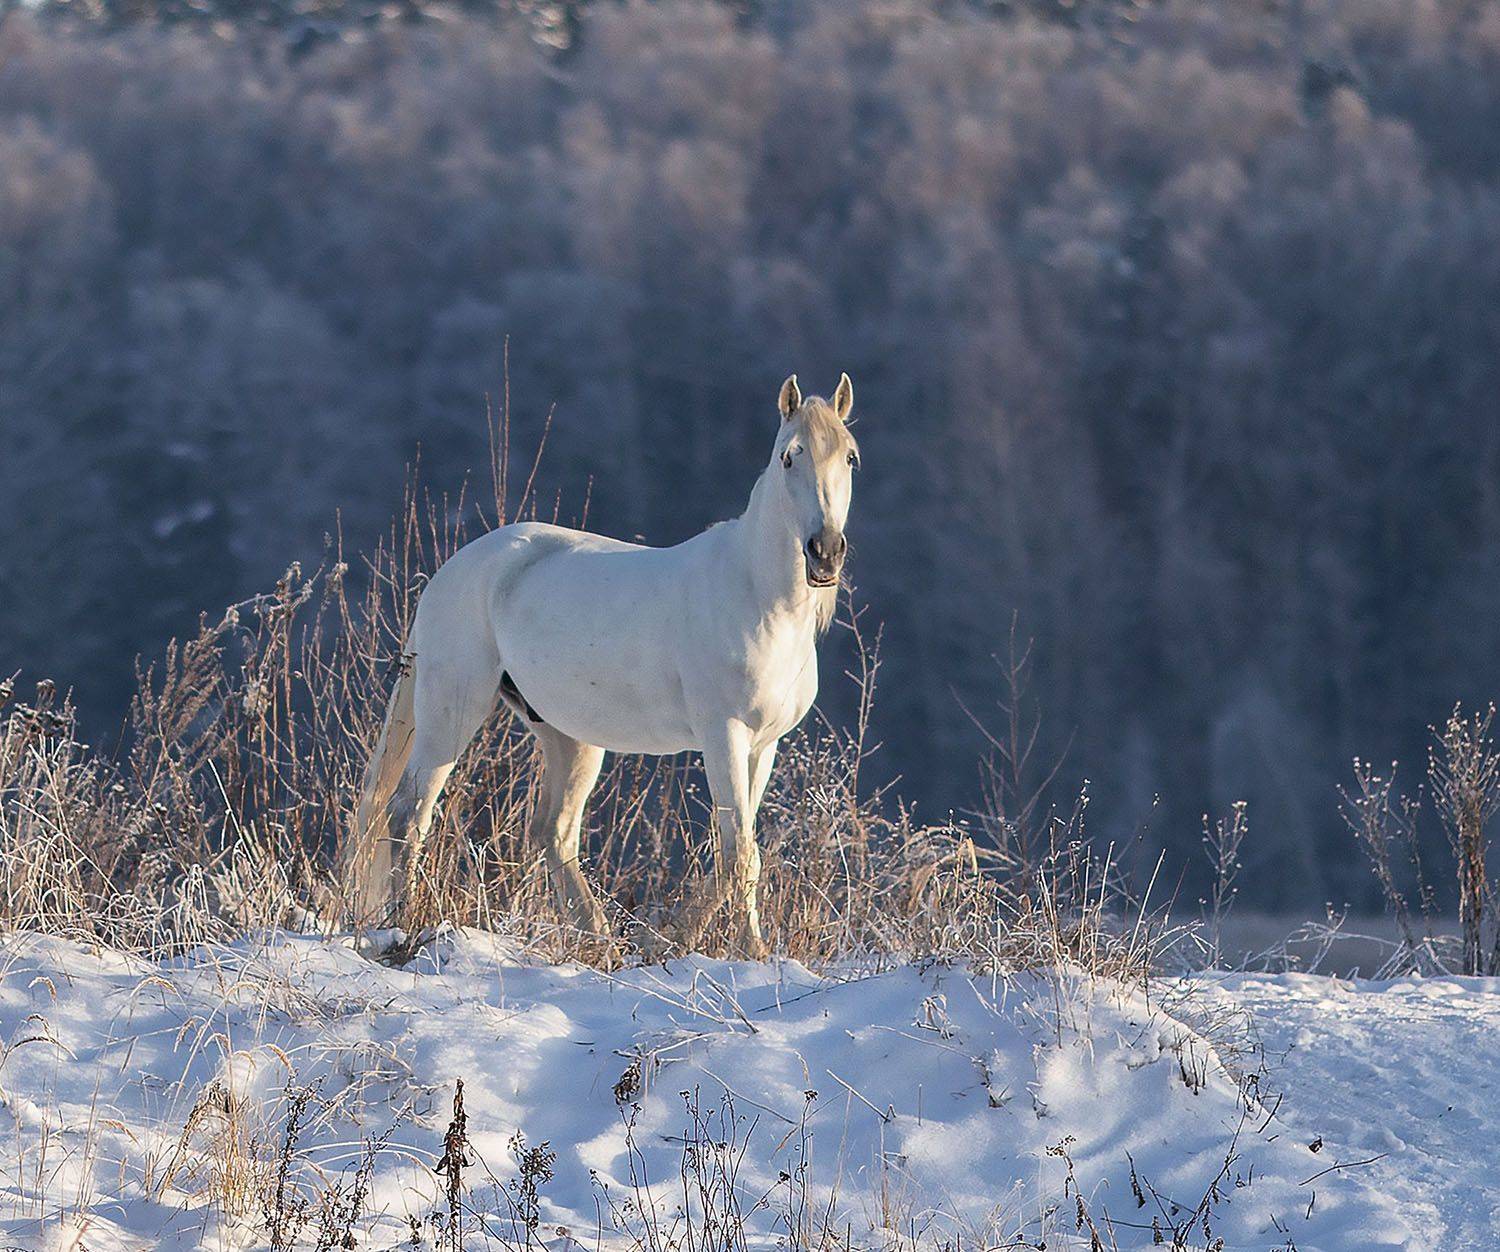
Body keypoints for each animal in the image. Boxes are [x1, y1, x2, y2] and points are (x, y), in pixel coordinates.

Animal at [346, 373, 859, 955]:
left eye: (849, 457)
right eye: (789, 456)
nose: (824, 552)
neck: (755, 596)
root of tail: (450, 573)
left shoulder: (762, 746)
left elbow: (736, 857)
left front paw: (681, 941)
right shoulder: (723, 735)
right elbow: (740, 857)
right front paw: (738, 950)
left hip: (569, 737)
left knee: (553, 833)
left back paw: (601, 940)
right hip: (451, 712)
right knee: (409, 812)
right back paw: (405, 921)